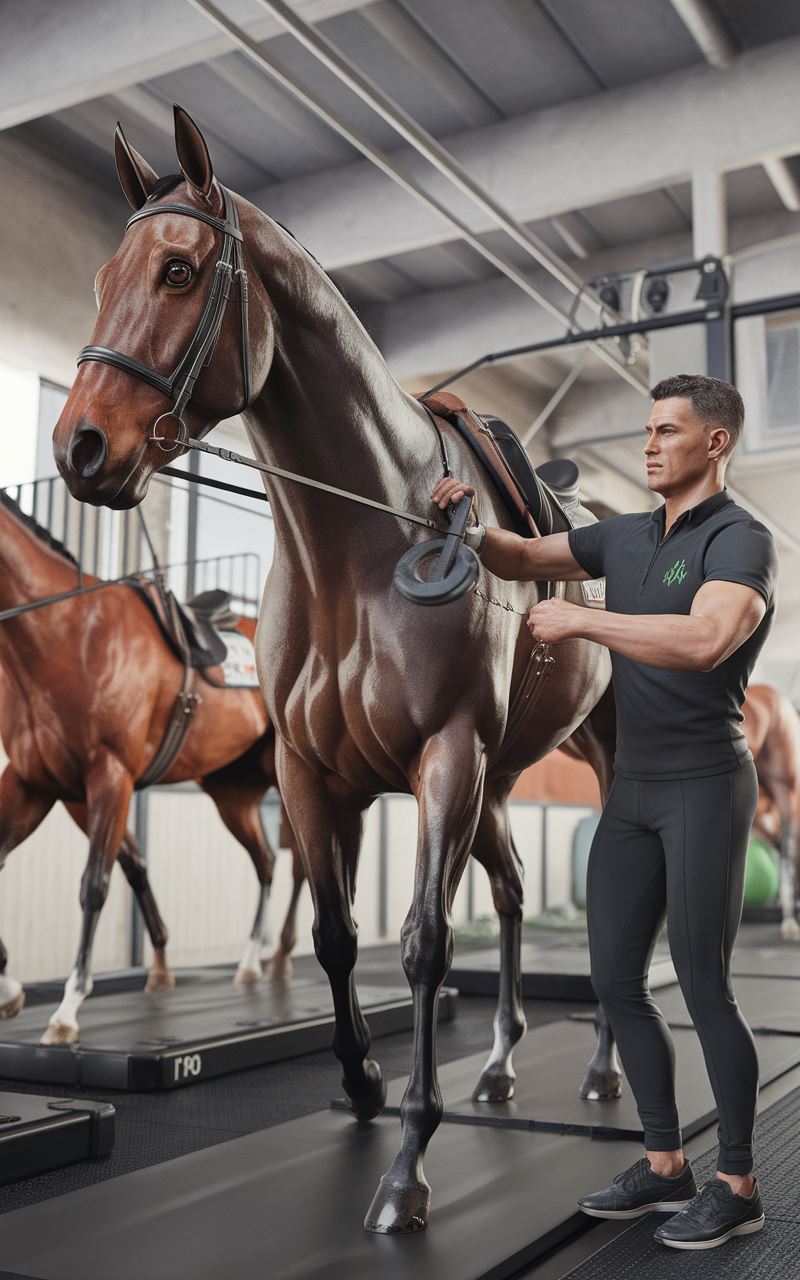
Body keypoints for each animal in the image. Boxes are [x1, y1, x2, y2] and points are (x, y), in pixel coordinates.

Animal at [0, 486, 304, 1039]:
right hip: (232, 792)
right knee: (267, 861)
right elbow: (127, 864)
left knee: (302, 863)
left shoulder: (110, 775)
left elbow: (95, 884)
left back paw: (283, 954)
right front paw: (11, 990)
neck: (64, 634)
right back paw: (252, 961)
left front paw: (68, 1009)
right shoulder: (39, 782)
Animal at [54, 115, 616, 1233]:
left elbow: (424, 943)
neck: (362, 533)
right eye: (102, 277)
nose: (80, 444)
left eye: (179, 270)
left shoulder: (444, 757)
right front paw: (361, 1085)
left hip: (582, 760)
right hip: (496, 782)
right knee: (515, 891)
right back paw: (499, 1063)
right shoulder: (318, 777)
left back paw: (607, 1068)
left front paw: (407, 1166)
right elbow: (334, 935)